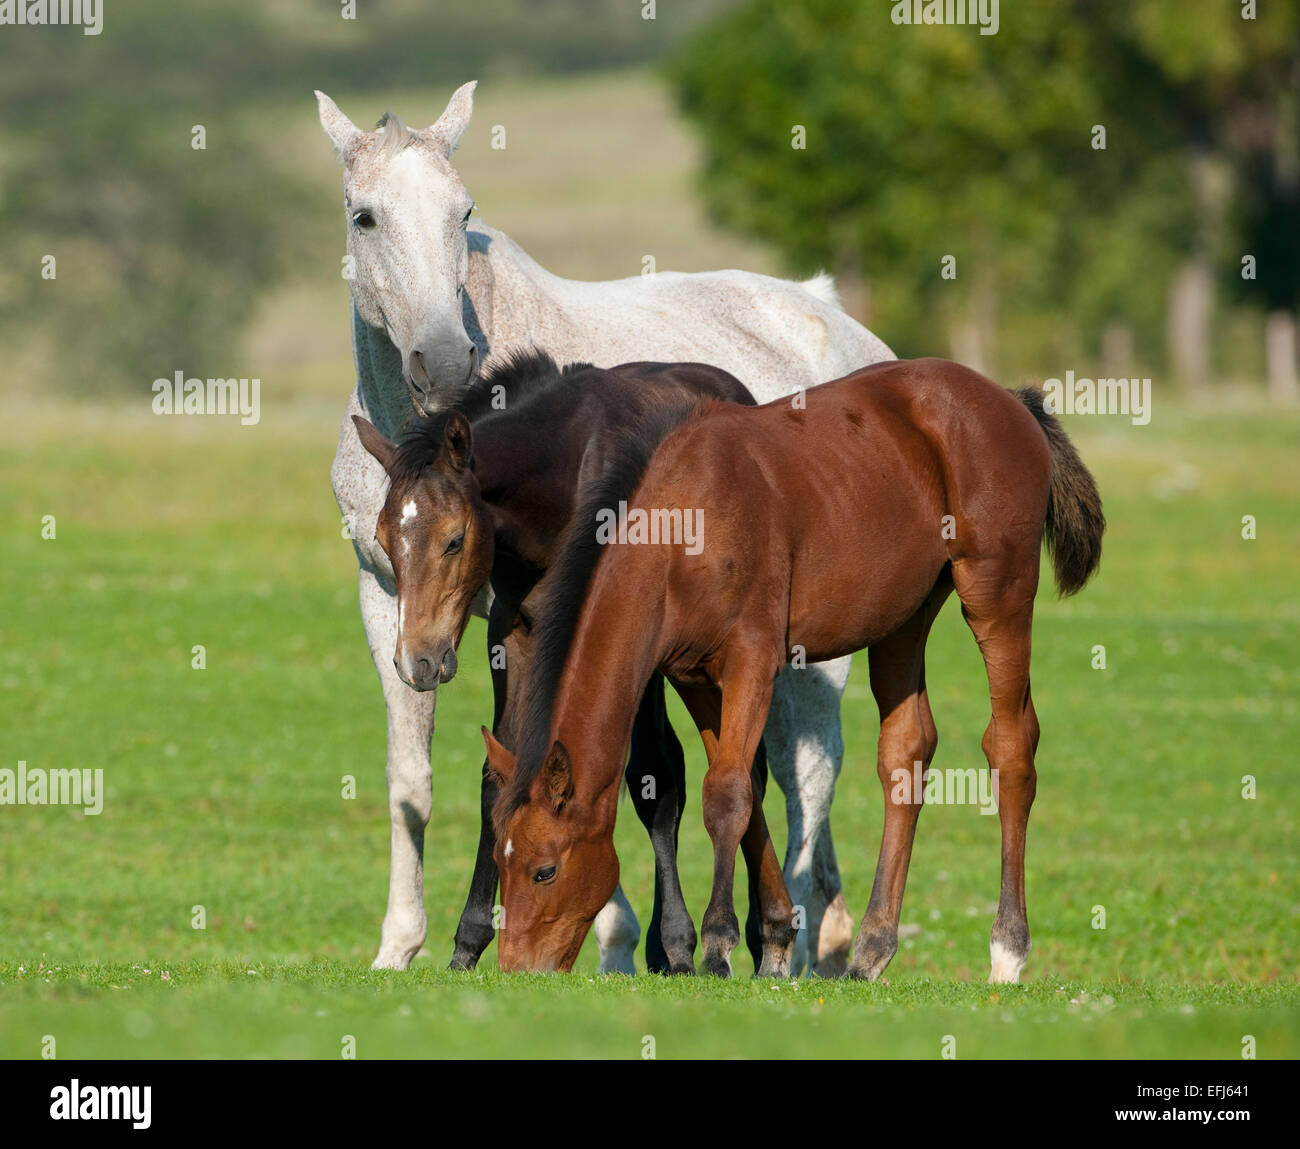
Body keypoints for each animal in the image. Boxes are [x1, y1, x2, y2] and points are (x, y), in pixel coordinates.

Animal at [356, 348, 759, 967]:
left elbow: (657, 781)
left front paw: (678, 946)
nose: (416, 663)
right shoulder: (514, 634)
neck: (559, 481)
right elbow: (501, 775)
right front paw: (468, 943)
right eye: (384, 540)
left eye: (454, 539)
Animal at [491, 356, 1102, 977]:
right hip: (903, 621)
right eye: (499, 859)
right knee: (905, 751)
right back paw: (872, 949)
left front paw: (718, 944)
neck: (685, 525)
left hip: (997, 597)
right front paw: (778, 939)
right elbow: (747, 791)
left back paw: (1007, 952)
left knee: (1011, 746)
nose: (516, 969)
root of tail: (1008, 399)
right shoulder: (695, 678)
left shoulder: (752, 662)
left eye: (545, 870)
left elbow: (727, 794)